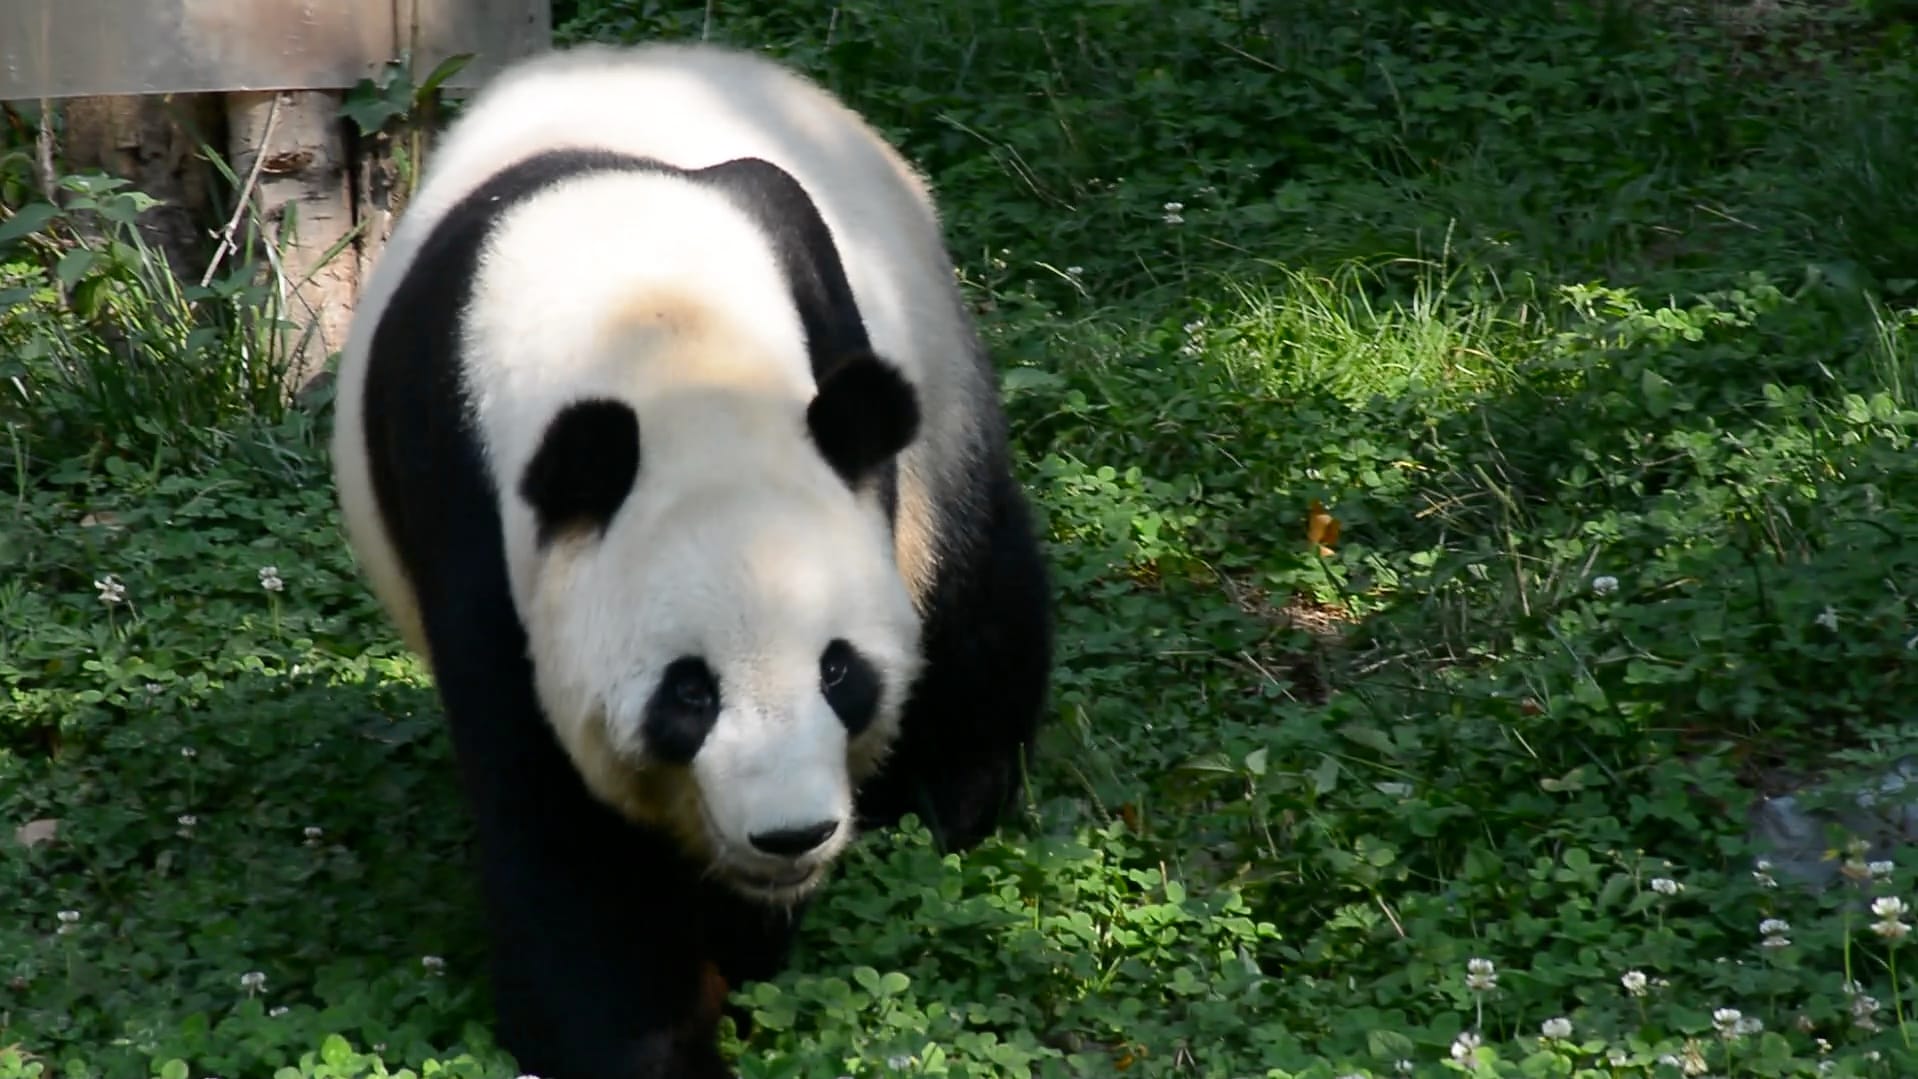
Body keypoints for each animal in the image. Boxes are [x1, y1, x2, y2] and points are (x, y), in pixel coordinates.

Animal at [329, 40, 1052, 1079]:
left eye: (840, 671)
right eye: (689, 691)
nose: (792, 833)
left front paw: (749, 940)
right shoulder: (465, 502)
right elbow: (562, 831)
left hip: (937, 388)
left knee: (973, 598)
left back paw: (956, 789)